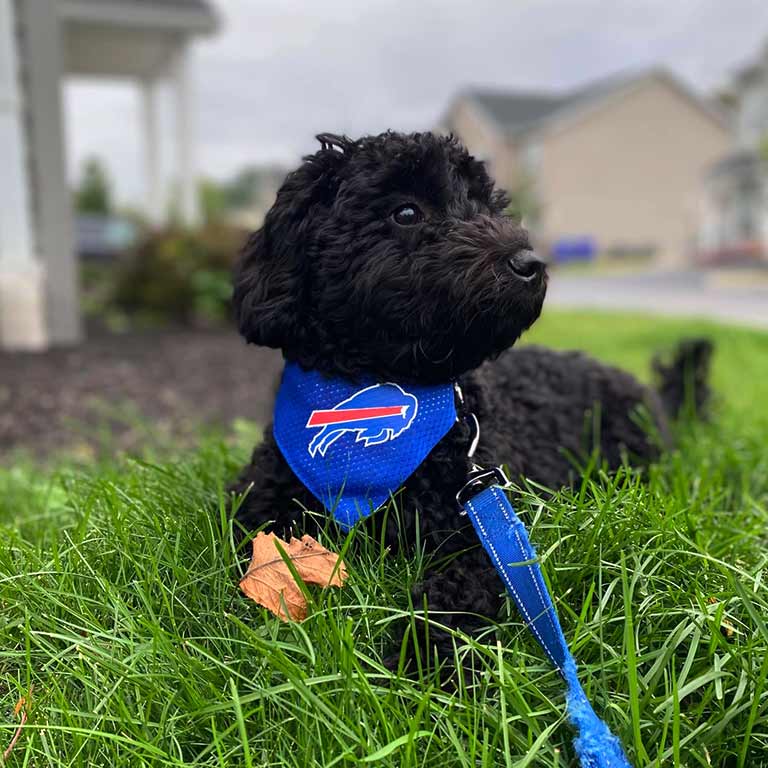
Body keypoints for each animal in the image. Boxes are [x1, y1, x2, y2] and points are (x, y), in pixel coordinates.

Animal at [230, 129, 712, 664]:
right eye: (406, 212)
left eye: (489, 205)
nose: (530, 264)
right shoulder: (261, 510)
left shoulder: (487, 534)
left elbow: (457, 593)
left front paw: (420, 657)